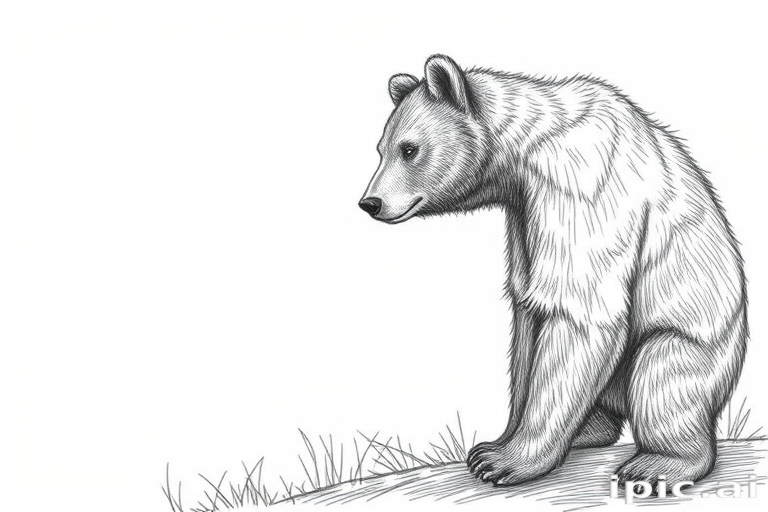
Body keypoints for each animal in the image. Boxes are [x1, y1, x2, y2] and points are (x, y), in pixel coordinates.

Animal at [359, 54, 747, 488]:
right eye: (381, 149)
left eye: (409, 149)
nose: (370, 202)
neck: (527, 154)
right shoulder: (522, 213)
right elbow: (528, 313)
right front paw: (495, 442)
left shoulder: (581, 192)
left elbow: (577, 313)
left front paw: (503, 461)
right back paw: (588, 431)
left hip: (694, 341)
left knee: (662, 377)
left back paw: (658, 463)